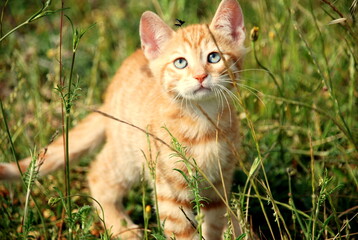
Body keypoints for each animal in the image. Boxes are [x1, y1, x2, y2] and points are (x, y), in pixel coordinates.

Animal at [0, 0, 246, 239]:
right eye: (180, 63)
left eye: (214, 57)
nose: (200, 76)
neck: (203, 123)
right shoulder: (170, 191)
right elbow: (183, 231)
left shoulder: (219, 186)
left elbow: (215, 224)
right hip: (128, 157)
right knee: (98, 175)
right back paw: (122, 228)